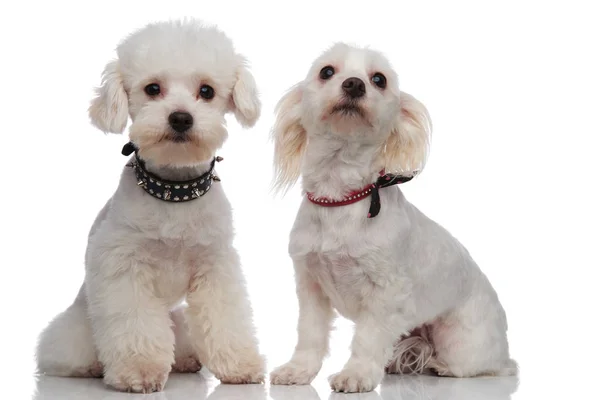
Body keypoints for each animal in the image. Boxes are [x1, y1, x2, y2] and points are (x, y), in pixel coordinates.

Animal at [35, 19, 264, 394]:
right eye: (153, 88)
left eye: (207, 91)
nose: (181, 118)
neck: (174, 192)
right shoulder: (123, 267)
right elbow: (135, 325)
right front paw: (138, 371)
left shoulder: (215, 265)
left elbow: (225, 317)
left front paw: (239, 365)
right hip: (78, 327)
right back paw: (92, 367)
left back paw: (185, 359)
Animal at [270, 42, 516, 392]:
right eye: (326, 72)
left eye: (379, 79)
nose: (354, 84)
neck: (341, 198)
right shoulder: (311, 286)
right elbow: (310, 335)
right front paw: (298, 370)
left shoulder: (385, 292)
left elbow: (367, 338)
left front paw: (356, 374)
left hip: (462, 343)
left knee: (479, 367)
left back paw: (441, 365)